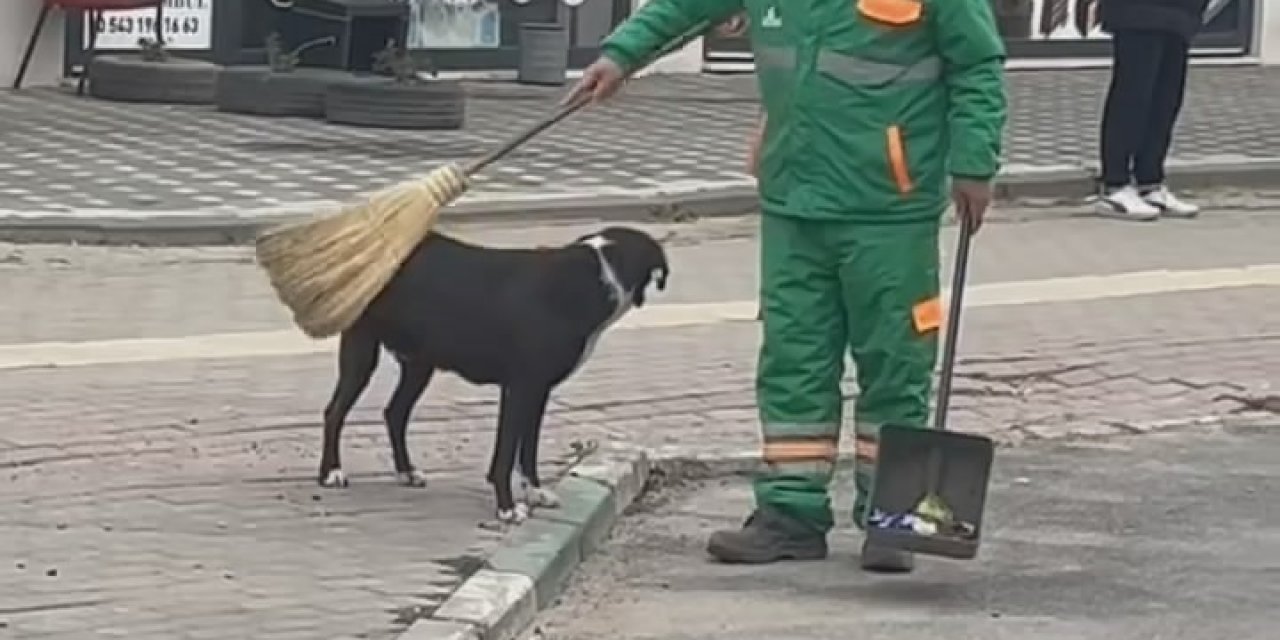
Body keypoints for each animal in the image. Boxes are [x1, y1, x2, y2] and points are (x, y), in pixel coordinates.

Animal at [317, 227, 670, 522]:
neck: (593, 279)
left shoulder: (536, 390)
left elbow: (527, 449)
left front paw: (535, 492)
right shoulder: (521, 387)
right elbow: (505, 453)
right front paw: (507, 507)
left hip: (420, 364)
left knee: (395, 413)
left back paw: (406, 471)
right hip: (362, 352)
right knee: (335, 412)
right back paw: (331, 472)